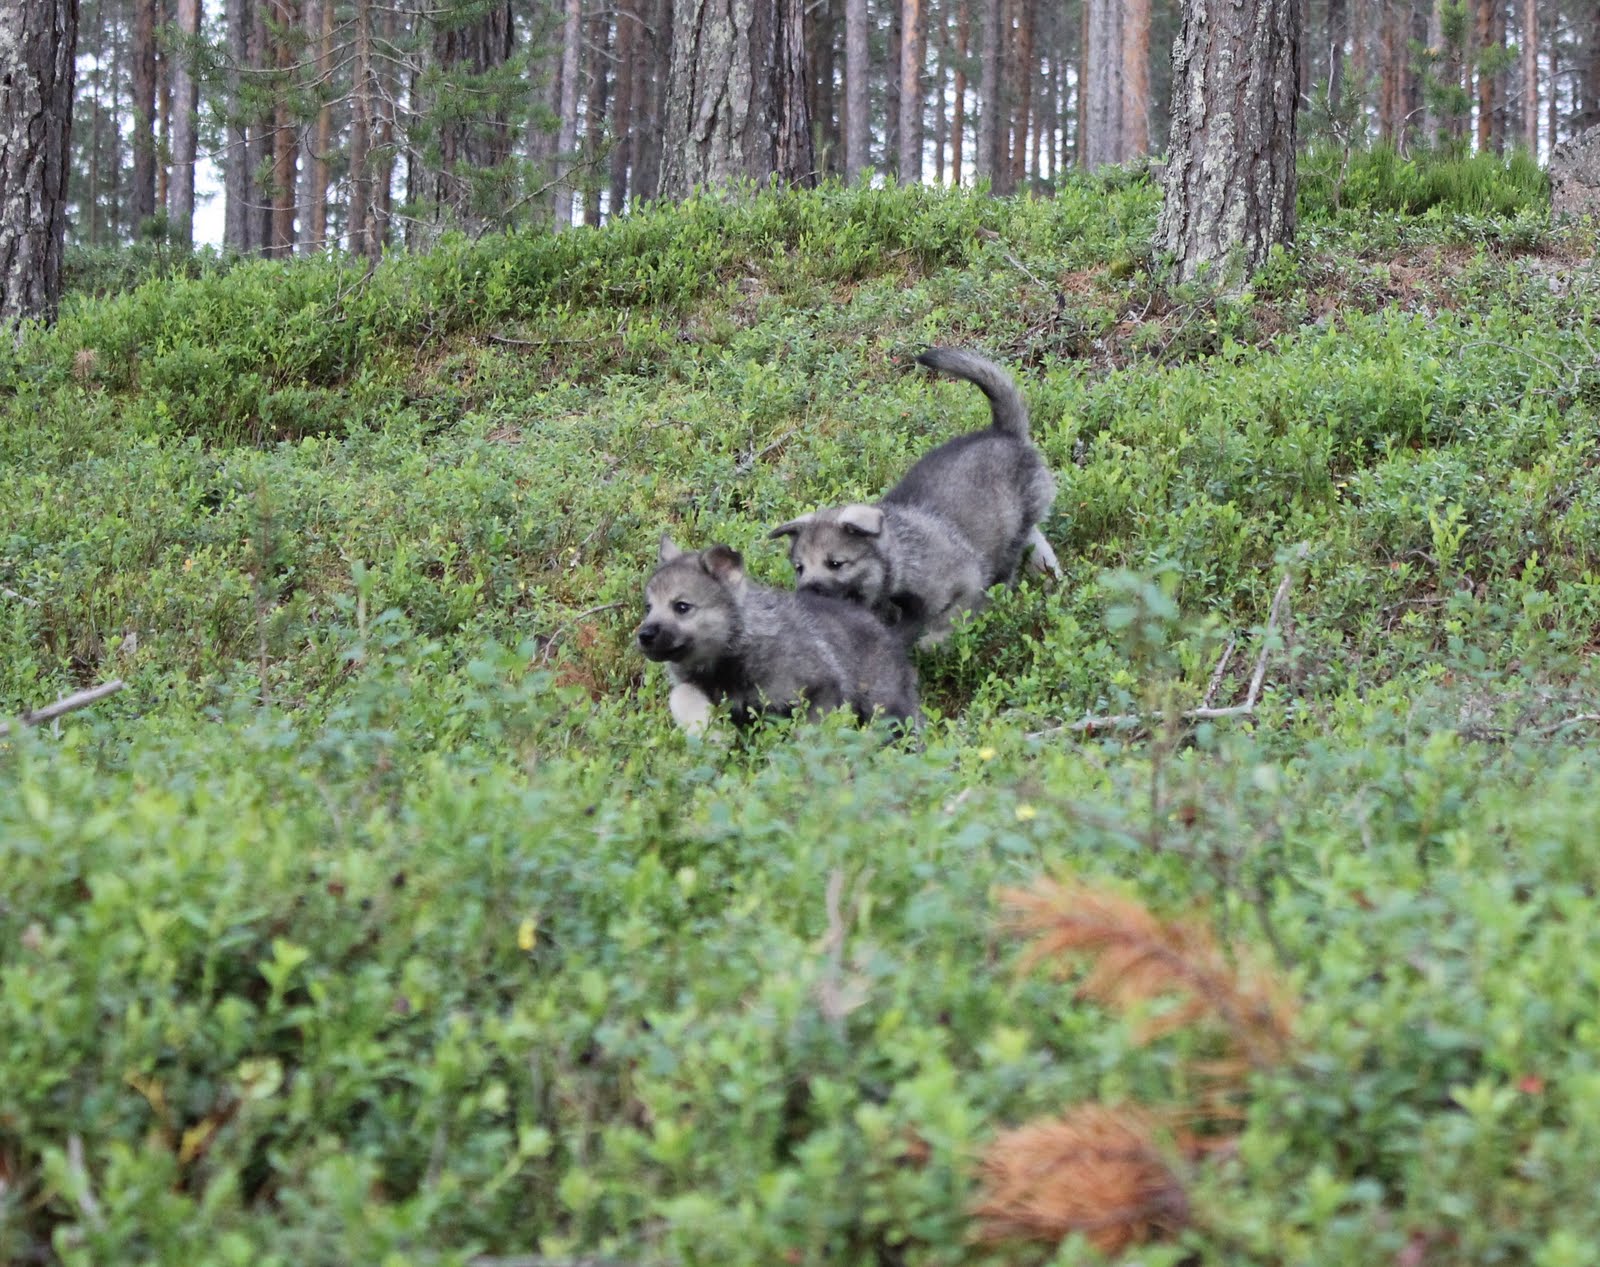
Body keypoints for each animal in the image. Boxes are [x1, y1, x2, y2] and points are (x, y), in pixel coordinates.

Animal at [633, 534, 921, 732]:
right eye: (648, 607)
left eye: (682, 607)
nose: (643, 636)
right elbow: (680, 695)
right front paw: (708, 731)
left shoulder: (822, 687)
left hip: (887, 706)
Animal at [764, 343, 1056, 643]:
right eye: (799, 568)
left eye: (835, 563)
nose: (806, 595)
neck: (901, 559)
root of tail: (1006, 433)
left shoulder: (967, 580)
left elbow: (947, 620)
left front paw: (935, 640)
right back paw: (1048, 570)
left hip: (1012, 533)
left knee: (1010, 563)